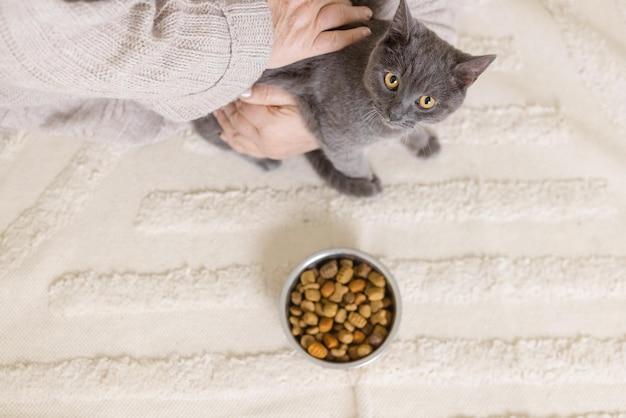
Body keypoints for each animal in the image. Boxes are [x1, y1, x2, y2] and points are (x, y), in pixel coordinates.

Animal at [193, 0, 494, 196]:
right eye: (392, 79)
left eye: (426, 101)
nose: (395, 113)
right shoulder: (337, 138)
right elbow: (352, 163)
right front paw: (367, 183)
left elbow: (409, 130)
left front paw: (422, 142)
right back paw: (266, 161)